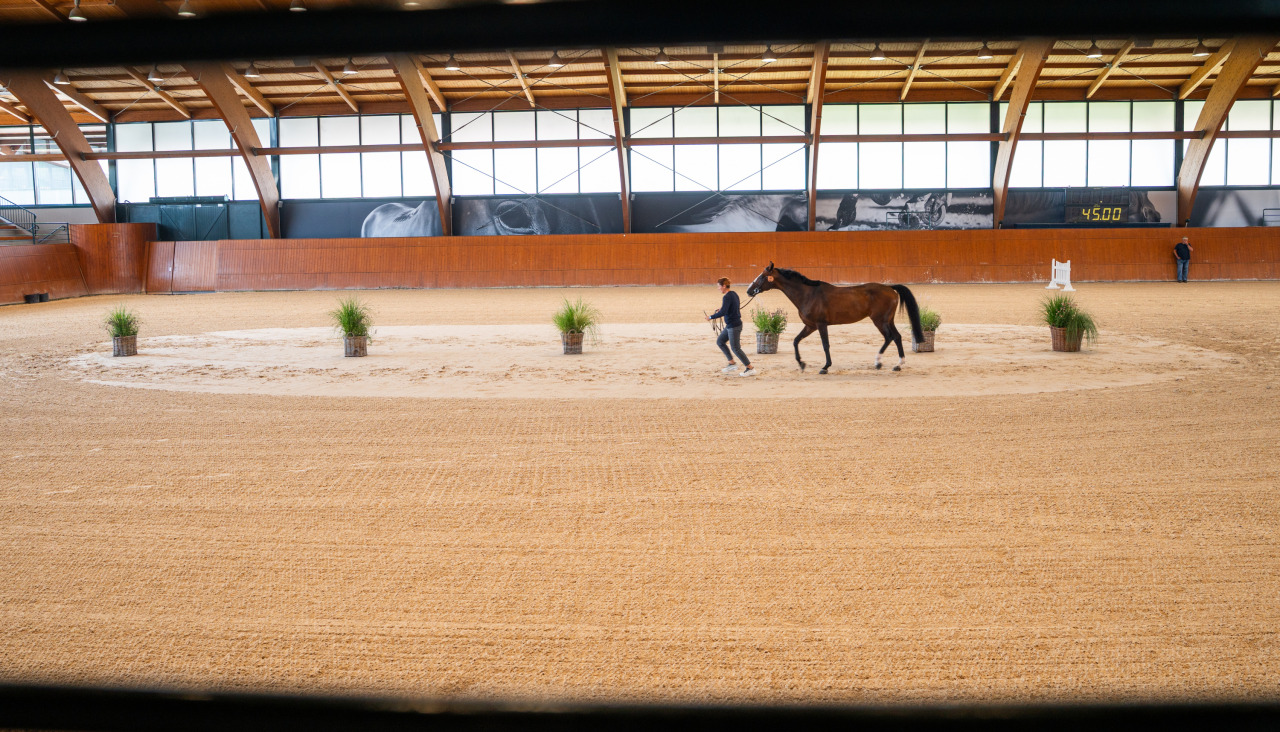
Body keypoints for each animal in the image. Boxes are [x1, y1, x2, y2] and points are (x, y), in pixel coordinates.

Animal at [746, 263, 924, 373]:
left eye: (762, 276)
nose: (749, 290)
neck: (808, 294)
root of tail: (889, 288)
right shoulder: (810, 326)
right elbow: (796, 341)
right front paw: (802, 364)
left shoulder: (821, 324)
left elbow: (825, 345)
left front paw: (825, 367)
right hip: (888, 320)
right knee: (897, 337)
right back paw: (898, 365)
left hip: (880, 321)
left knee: (889, 337)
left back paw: (878, 362)